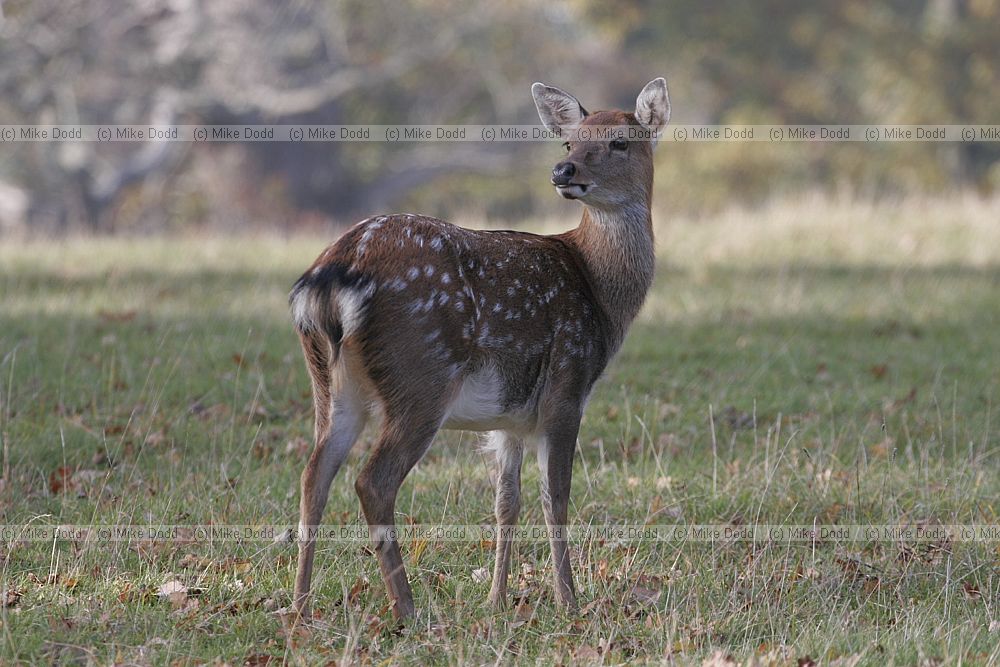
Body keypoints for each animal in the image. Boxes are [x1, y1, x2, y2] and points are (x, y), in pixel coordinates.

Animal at [288, 78, 670, 621]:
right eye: (569, 143)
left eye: (619, 142)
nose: (564, 171)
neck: (599, 291)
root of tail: (334, 271)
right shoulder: (568, 384)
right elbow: (557, 497)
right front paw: (569, 600)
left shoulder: (510, 417)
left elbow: (506, 502)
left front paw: (496, 598)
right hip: (423, 375)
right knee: (373, 480)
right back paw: (408, 609)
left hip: (330, 381)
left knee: (313, 475)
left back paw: (300, 606)